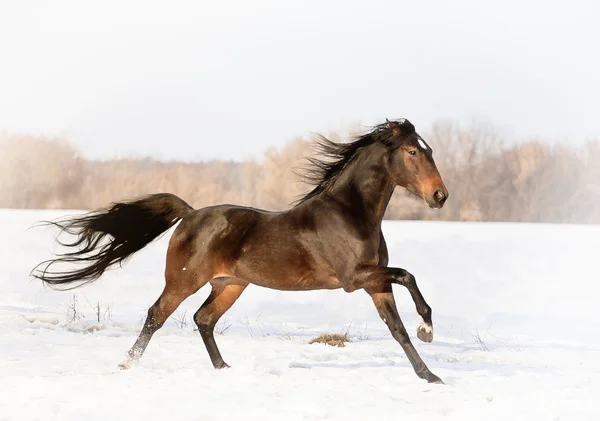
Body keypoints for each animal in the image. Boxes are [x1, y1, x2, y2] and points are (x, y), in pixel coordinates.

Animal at [30, 118, 448, 384]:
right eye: (413, 152)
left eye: (429, 150)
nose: (439, 196)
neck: (351, 214)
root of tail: (190, 214)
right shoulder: (353, 278)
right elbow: (408, 275)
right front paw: (428, 328)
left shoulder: (375, 282)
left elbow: (397, 328)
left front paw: (430, 375)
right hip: (184, 281)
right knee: (156, 316)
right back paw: (127, 365)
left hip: (230, 284)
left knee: (203, 319)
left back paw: (224, 369)